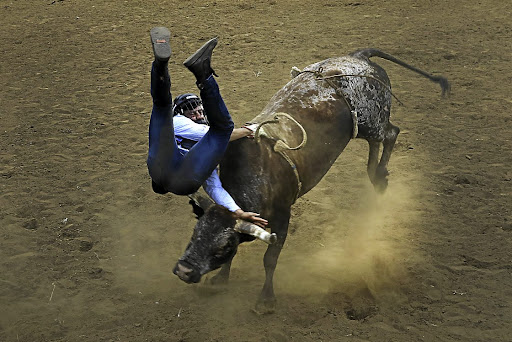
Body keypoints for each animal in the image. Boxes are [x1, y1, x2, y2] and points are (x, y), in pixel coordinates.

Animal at [171, 48, 448, 312]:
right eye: (196, 232)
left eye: (222, 246)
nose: (184, 271)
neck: (255, 177)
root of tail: (359, 56)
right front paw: (219, 280)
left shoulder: (282, 218)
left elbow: (270, 259)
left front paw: (266, 301)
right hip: (363, 127)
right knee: (375, 143)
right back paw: (375, 175)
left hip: (373, 120)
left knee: (390, 133)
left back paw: (379, 177)